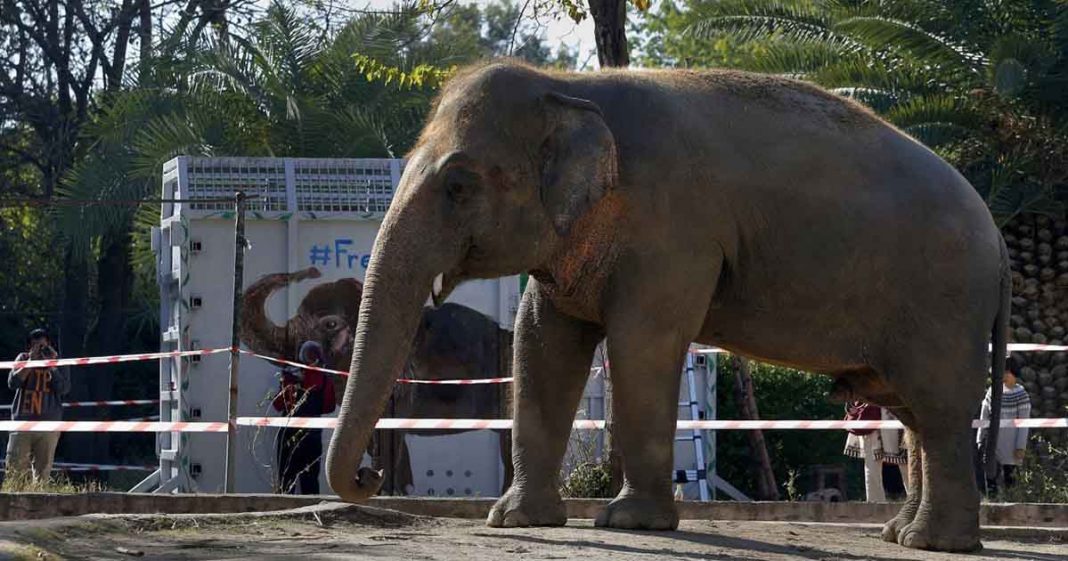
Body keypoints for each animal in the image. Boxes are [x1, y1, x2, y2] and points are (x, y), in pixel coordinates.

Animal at [324, 61, 1008, 553]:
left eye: (459, 186)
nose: (371, 478)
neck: (570, 87)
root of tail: (998, 236)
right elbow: (542, 341)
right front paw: (514, 521)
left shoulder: (674, 229)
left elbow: (642, 342)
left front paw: (629, 524)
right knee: (912, 411)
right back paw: (901, 535)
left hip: (944, 300)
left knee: (937, 410)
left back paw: (933, 543)